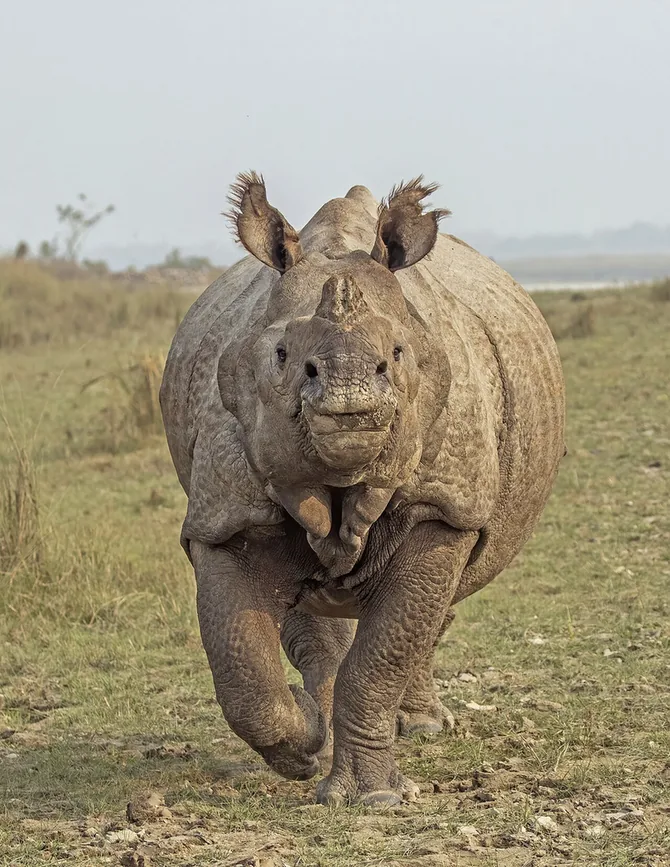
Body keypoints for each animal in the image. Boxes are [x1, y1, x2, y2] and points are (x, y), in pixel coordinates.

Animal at [160, 172, 565, 805]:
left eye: (397, 354)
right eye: (281, 355)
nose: (347, 391)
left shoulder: (443, 506)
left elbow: (387, 649)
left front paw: (371, 799)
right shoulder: (226, 516)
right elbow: (241, 664)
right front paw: (303, 744)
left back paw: (420, 728)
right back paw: (322, 725)